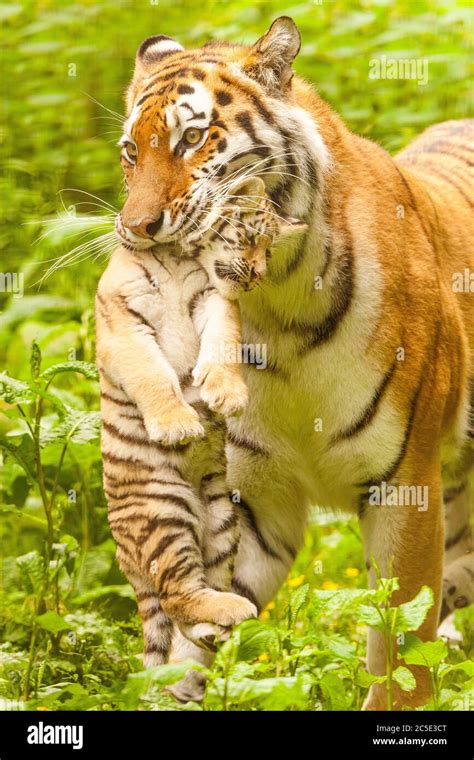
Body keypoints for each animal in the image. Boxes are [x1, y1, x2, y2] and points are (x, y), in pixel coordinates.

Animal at [112, 16, 474, 708]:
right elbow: (197, 636)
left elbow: (400, 654)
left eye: (192, 137)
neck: (277, 308)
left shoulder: (406, 485)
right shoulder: (257, 501)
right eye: (130, 152)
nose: (137, 228)